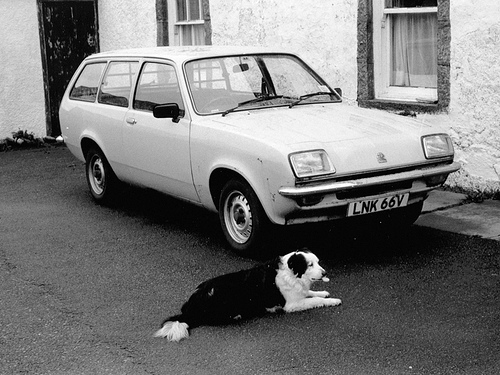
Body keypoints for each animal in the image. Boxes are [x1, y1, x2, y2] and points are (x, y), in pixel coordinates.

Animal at [155, 251, 344, 342]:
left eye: (318, 262)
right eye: (309, 264)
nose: (325, 272)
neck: (292, 273)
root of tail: (191, 306)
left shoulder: (299, 293)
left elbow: (311, 293)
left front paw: (324, 293)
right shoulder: (292, 304)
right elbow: (314, 300)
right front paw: (332, 300)